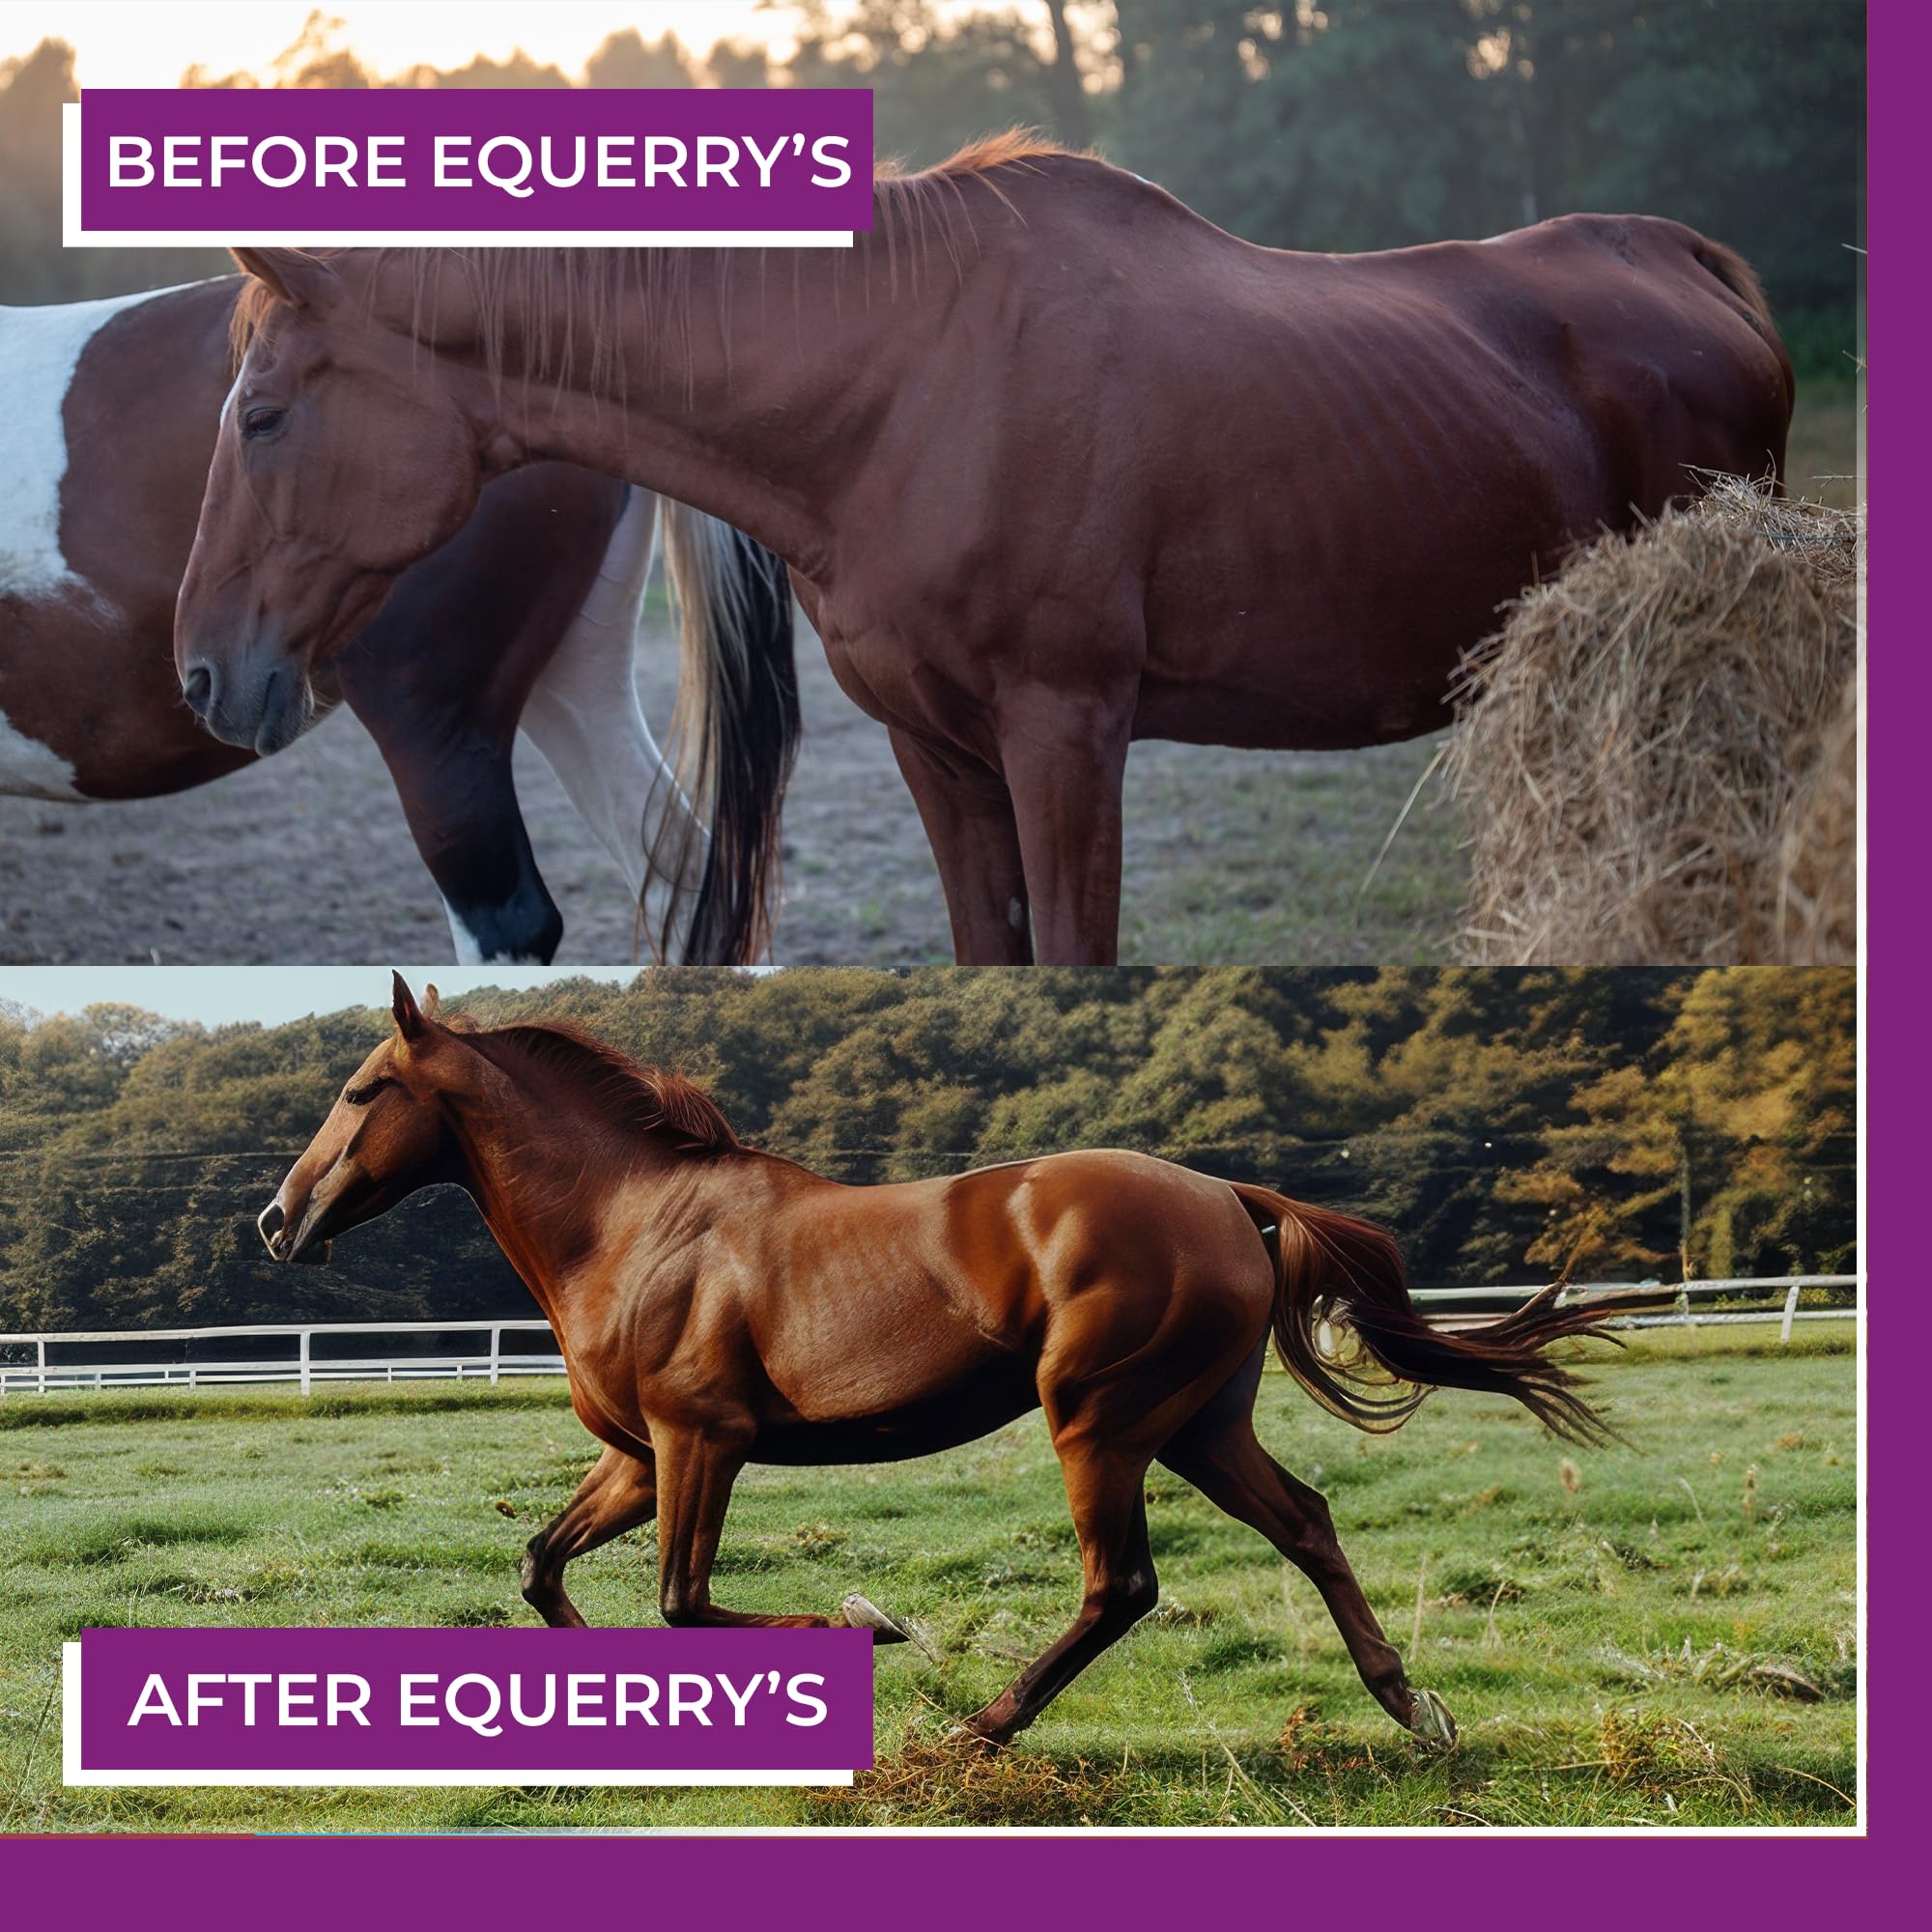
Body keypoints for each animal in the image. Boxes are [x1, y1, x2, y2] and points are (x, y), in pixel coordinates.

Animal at [1, 276, 798, 963]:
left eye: (261, 420)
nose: (198, 674)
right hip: (575, 682)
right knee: (684, 879)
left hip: (434, 730)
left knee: (509, 923)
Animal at [173, 137, 1795, 966]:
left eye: (261, 414)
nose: (200, 672)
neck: (906, 382)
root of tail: (1689, 264)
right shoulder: (937, 749)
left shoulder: (1066, 733)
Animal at [257, 972, 1632, 1747]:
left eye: (362, 1087)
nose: (277, 1218)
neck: (635, 1224)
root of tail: (1227, 1193)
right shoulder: (642, 1458)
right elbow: (545, 1568)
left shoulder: (703, 1441)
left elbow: (683, 1601)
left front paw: (870, 1624)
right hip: (1197, 1423)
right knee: (1303, 1520)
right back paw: (1411, 1707)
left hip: (1097, 1421)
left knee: (1121, 1584)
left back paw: (983, 1725)